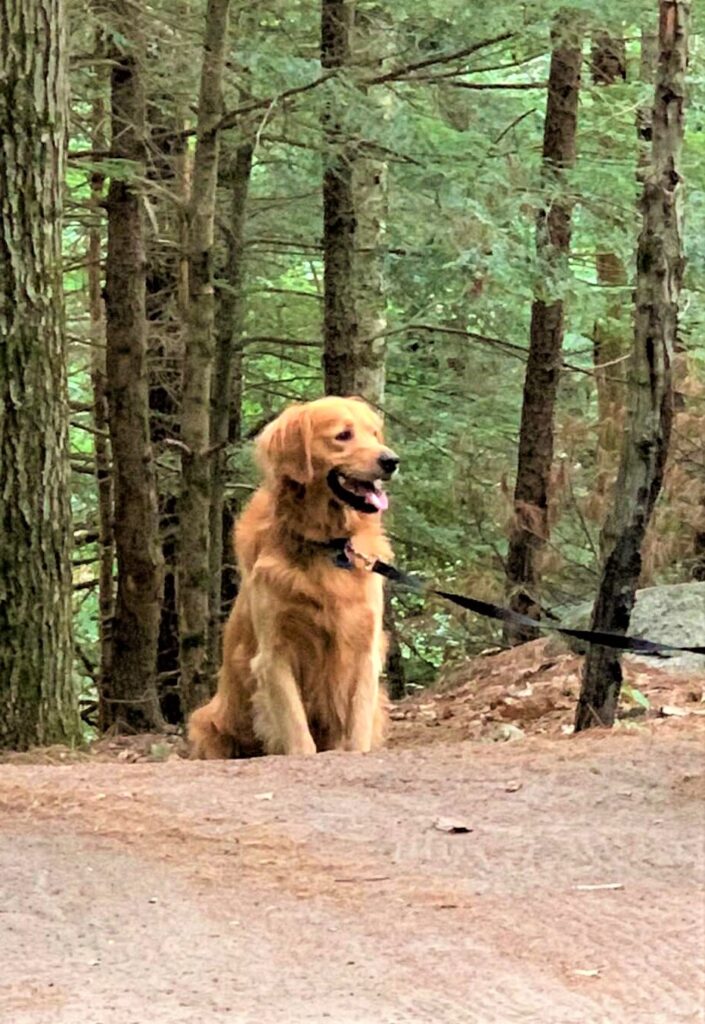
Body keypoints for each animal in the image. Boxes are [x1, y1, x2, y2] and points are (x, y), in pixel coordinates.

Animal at [187, 395, 397, 757]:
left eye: (373, 433)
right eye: (343, 435)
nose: (392, 460)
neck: (327, 544)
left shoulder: (364, 645)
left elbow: (357, 724)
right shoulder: (274, 653)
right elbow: (297, 729)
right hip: (206, 722)